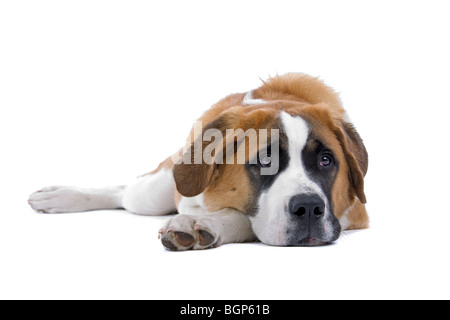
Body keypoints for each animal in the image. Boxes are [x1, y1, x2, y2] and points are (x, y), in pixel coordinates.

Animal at [28, 73, 370, 250]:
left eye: (326, 160)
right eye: (265, 161)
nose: (310, 208)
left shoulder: (354, 211)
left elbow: (241, 217)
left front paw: (201, 225)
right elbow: (242, 215)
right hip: (153, 192)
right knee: (125, 192)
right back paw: (61, 196)